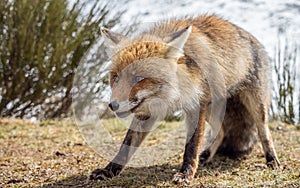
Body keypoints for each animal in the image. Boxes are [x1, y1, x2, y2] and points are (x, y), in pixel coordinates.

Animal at [88, 14, 278, 184]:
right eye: (116, 77)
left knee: (264, 132)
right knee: (222, 130)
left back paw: (272, 160)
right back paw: (206, 156)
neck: (170, 95)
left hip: (255, 105)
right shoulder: (147, 111)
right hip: (211, 108)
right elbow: (126, 145)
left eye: (138, 78)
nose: (112, 105)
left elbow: (191, 146)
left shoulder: (196, 105)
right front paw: (109, 170)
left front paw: (185, 174)